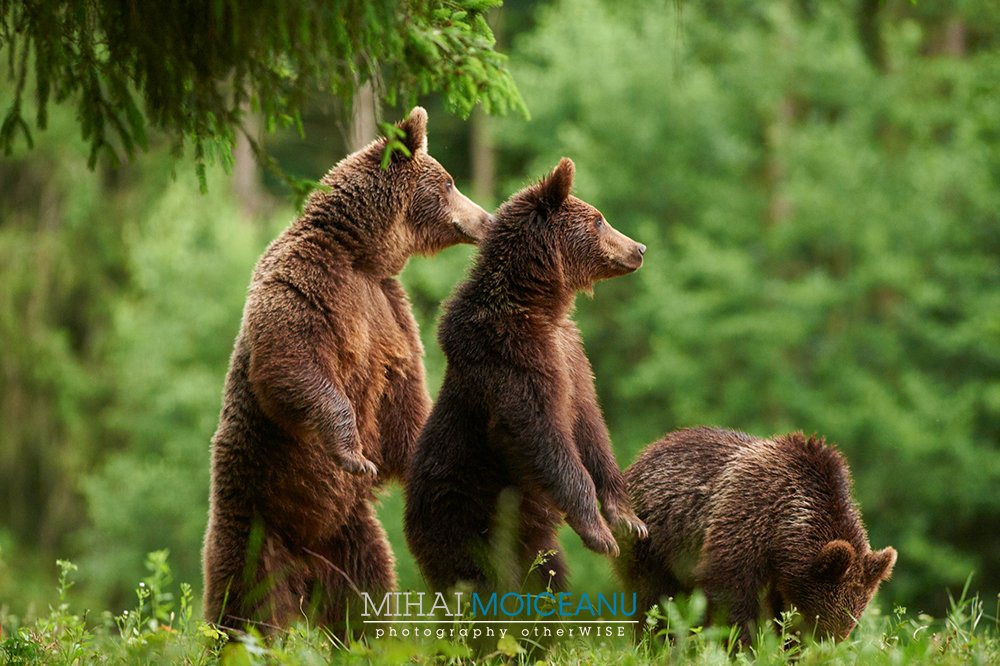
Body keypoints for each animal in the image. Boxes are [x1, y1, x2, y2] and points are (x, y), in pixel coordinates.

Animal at [200, 106, 492, 632]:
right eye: (450, 182)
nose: (486, 218)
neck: (358, 254)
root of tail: (304, 558)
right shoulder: (309, 284)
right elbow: (292, 362)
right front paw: (352, 451)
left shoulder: (388, 311)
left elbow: (402, 397)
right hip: (254, 520)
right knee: (246, 605)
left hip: (350, 536)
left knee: (367, 596)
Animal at [404, 157, 648, 592]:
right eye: (599, 220)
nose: (639, 248)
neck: (539, 303)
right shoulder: (511, 354)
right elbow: (539, 429)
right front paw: (600, 534)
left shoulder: (570, 355)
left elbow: (591, 426)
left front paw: (628, 519)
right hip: (463, 519)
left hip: (532, 541)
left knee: (545, 582)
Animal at [616, 428, 900, 640]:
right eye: (819, 626)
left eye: (847, 628)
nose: (820, 649)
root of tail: (645, 453)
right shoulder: (747, 518)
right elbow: (731, 593)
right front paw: (741, 646)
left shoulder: (784, 572)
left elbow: (779, 606)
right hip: (655, 539)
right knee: (654, 597)